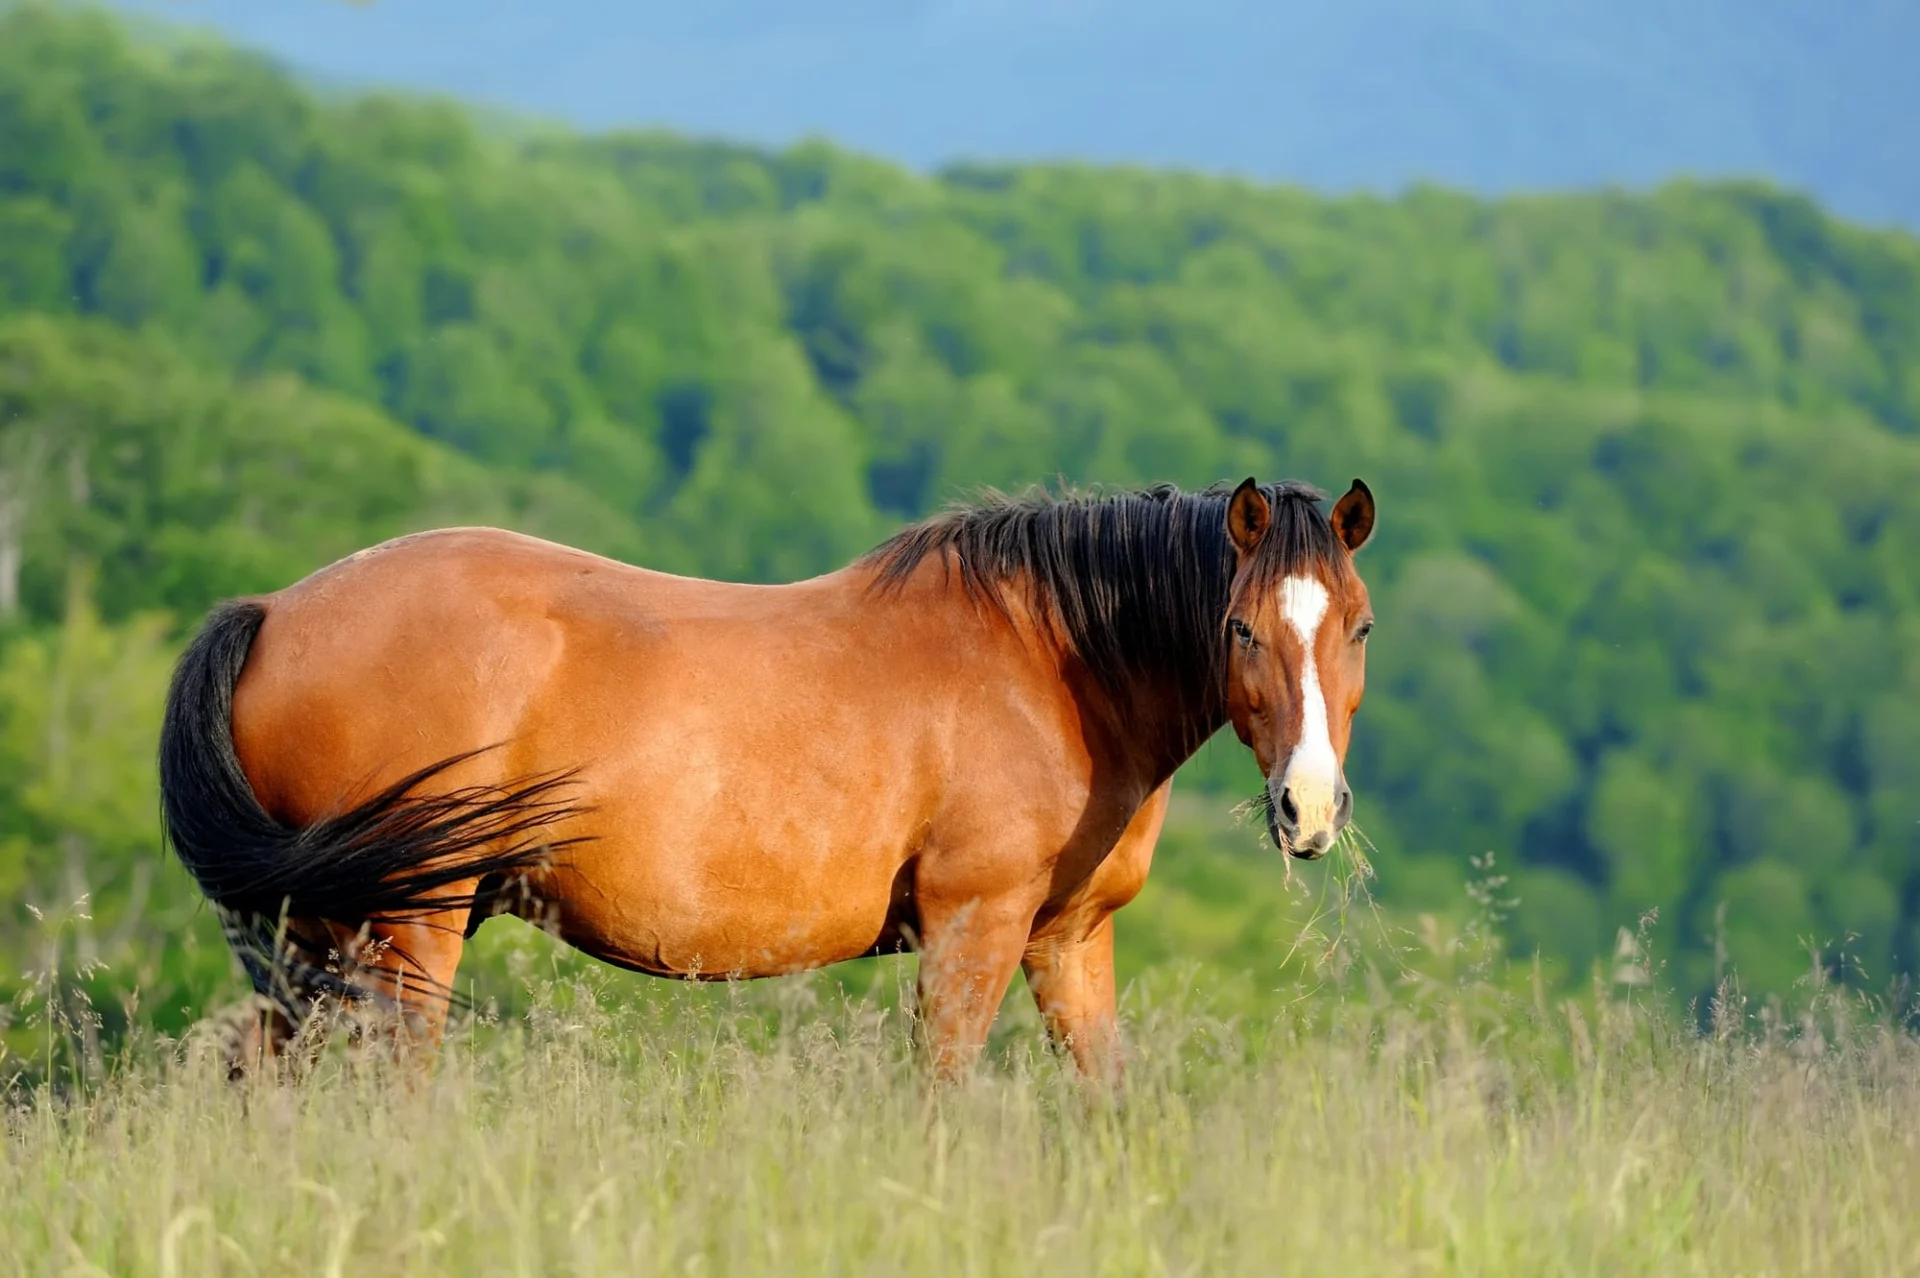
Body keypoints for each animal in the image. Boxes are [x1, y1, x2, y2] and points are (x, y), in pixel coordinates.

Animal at [158, 476, 1377, 1081]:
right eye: (1239, 627)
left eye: (1357, 627)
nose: (1308, 809)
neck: (1049, 662)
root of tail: (272, 614)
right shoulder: (972, 928)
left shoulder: (1067, 942)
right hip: (406, 931)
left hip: (311, 940)